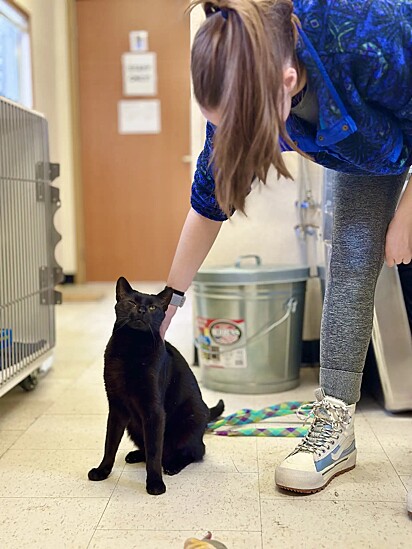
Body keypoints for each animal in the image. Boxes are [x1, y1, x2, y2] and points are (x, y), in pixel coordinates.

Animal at [88, 276, 224, 494]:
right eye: (132, 302)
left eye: (153, 307)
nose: (142, 310)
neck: (132, 347)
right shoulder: (117, 408)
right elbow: (110, 444)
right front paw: (102, 471)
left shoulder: (154, 411)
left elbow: (154, 452)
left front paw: (154, 483)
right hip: (133, 424)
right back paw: (135, 455)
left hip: (190, 419)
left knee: (195, 451)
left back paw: (172, 465)